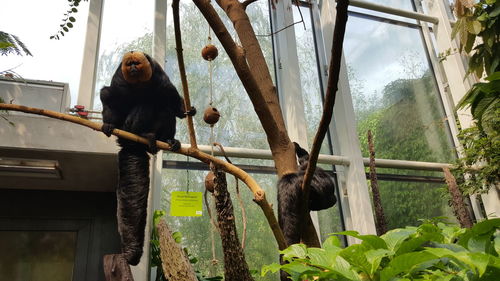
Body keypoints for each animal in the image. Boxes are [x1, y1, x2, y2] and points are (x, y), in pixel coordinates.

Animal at [99, 50, 195, 264]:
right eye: (130, 64)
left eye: (137, 63)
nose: (134, 68)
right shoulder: (119, 80)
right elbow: (110, 95)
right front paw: (110, 121)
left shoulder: (160, 78)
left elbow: (172, 101)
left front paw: (187, 111)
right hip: (125, 127)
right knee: (116, 99)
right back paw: (126, 130)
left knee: (160, 105)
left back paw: (164, 139)